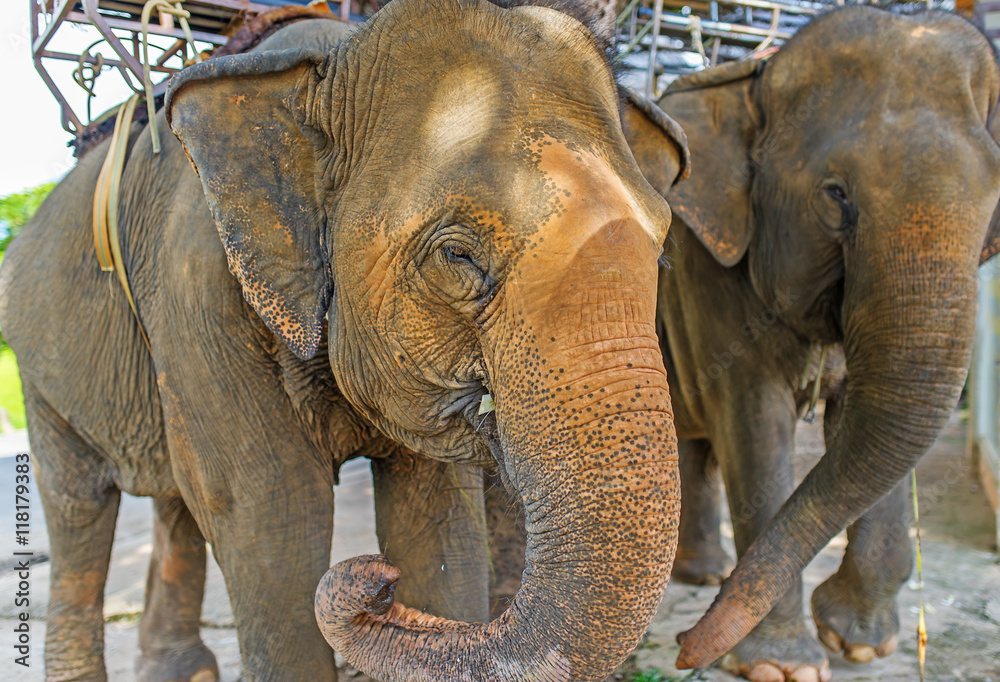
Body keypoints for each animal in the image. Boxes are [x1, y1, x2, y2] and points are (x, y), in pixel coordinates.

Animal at [0, 0, 690, 680]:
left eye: (660, 254)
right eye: (457, 255)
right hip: (39, 368)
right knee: (79, 509)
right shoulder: (195, 284)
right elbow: (268, 511)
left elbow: (436, 515)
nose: (376, 582)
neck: (329, 63)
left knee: (172, 499)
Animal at [618, 6, 1000, 681]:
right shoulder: (708, 267)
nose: (686, 644)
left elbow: (860, 417)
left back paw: (705, 575)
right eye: (835, 194)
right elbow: (755, 422)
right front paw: (782, 667)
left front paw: (861, 644)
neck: (756, 80)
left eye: (995, 200)